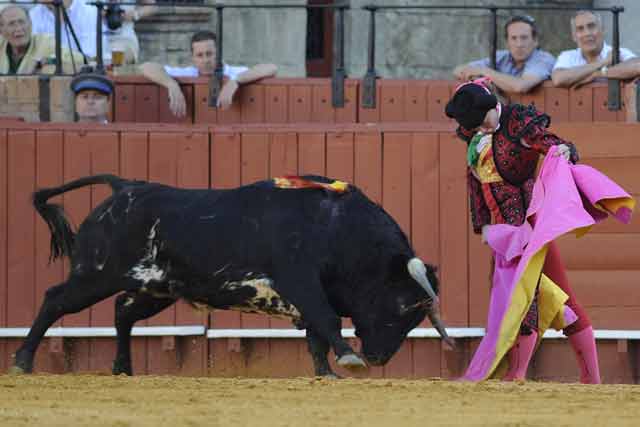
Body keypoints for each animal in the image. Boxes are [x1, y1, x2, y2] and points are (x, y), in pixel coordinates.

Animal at [8, 175, 450, 378]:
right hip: (96, 274)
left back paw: (123, 368)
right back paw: (22, 361)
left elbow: (316, 335)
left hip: (157, 288)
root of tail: (123, 187)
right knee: (55, 299)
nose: (378, 358)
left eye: (417, 318)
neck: (337, 228)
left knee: (122, 312)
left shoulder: (309, 294)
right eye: (401, 306)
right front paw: (348, 359)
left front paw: (326, 373)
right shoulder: (302, 283)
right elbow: (326, 323)